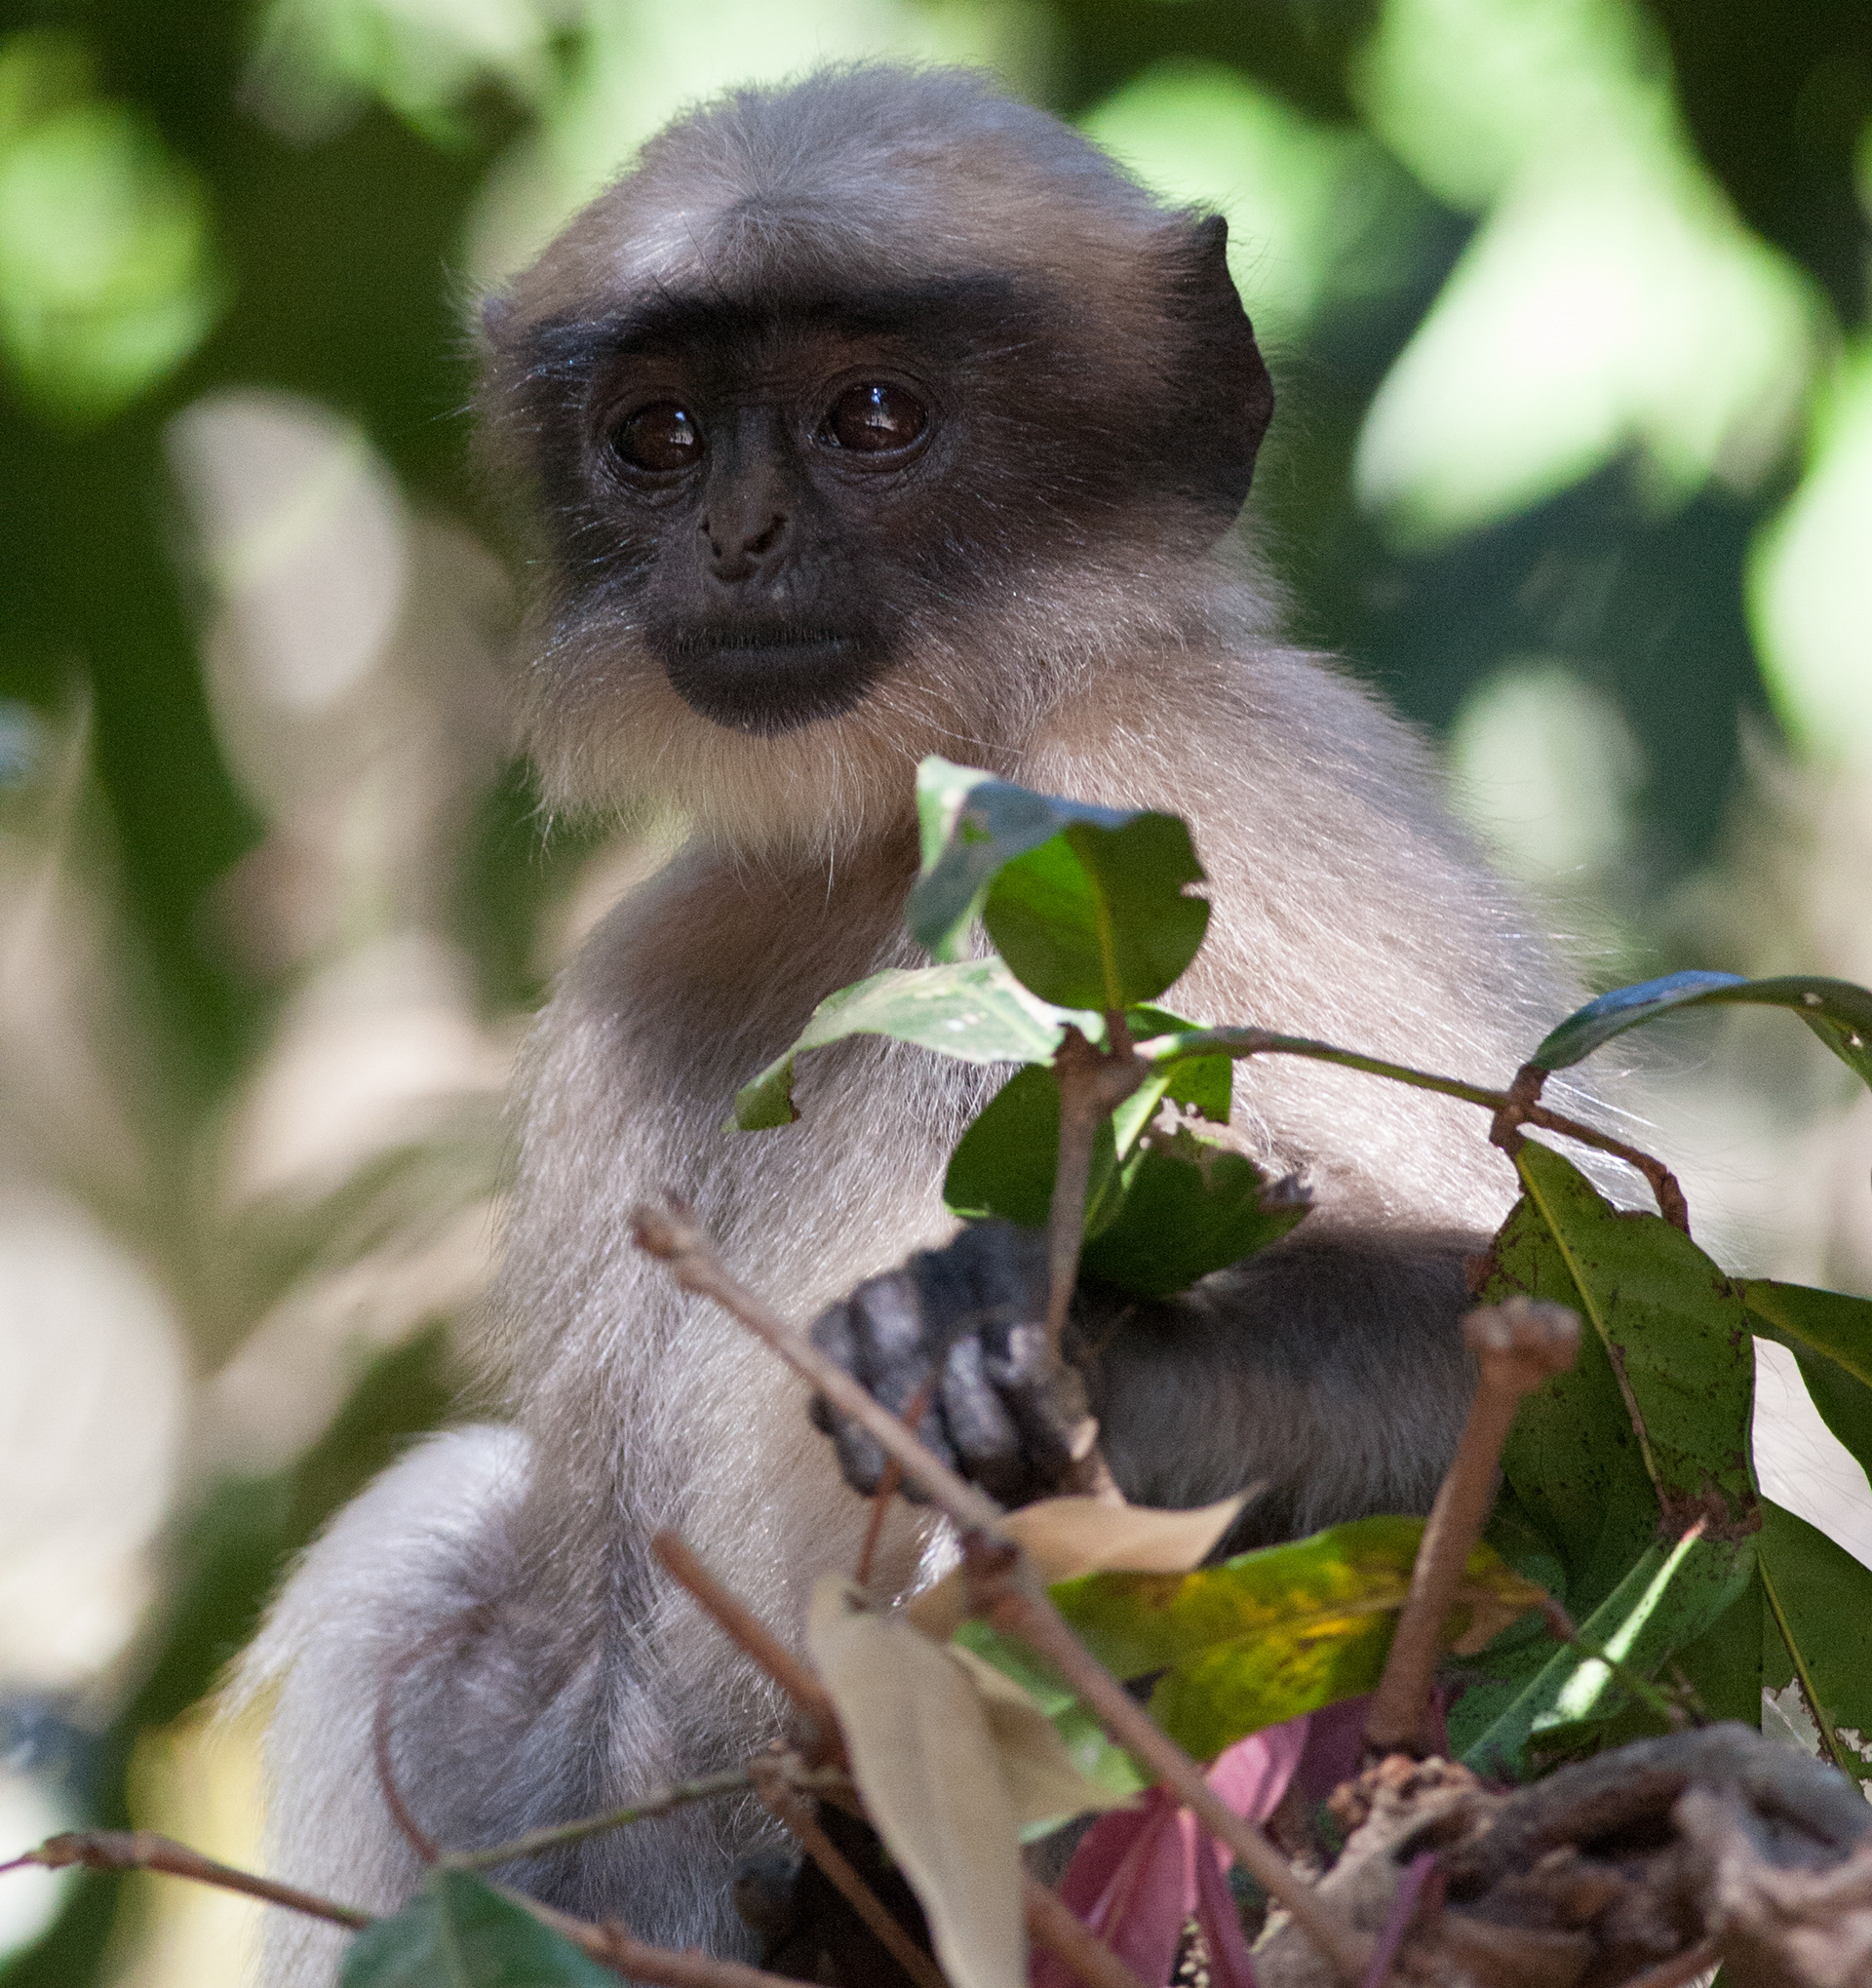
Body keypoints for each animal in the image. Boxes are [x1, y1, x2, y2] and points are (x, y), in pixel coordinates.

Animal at [242, 63, 1591, 1982]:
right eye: (661, 436)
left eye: (872, 413)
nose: (739, 539)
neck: (914, 831)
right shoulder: (658, 963)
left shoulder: (1215, 774)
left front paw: (1063, 1349)